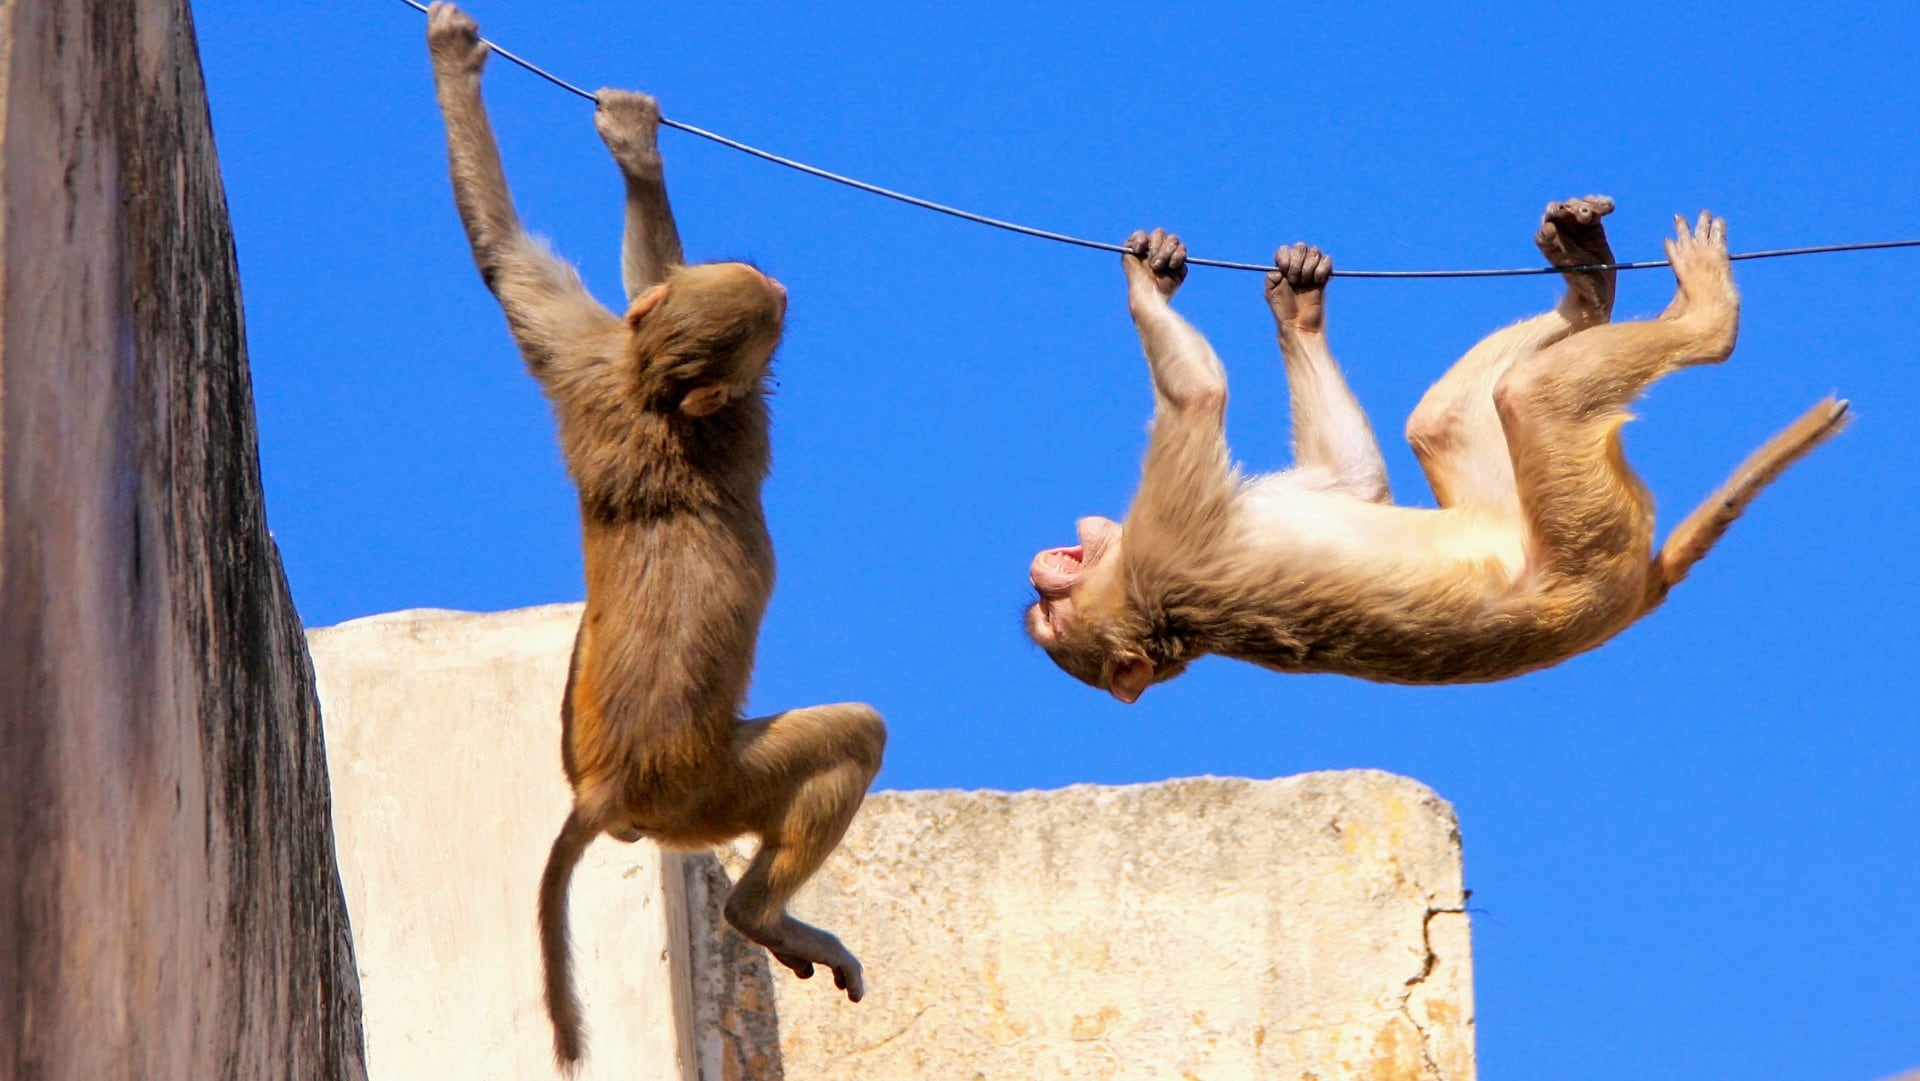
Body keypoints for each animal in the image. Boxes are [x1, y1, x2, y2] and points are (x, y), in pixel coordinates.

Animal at [424, 6, 887, 1075]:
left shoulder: (589, 356)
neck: (651, 389)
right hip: (709, 789)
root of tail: (608, 791)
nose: (780, 281)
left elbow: (505, 260)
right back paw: (762, 913)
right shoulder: (740, 422)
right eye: (770, 314)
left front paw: (473, 66)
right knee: (849, 735)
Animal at [1029, 196, 1850, 702]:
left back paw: (1589, 282)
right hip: (1588, 549)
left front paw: (1299, 305)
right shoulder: (1160, 549)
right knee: (1532, 397)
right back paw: (1705, 318)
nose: (1040, 573)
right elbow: (1198, 397)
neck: (1143, 598)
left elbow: (1354, 479)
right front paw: (1147, 288)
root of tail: (1638, 590)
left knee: (1442, 418)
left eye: (1045, 606)